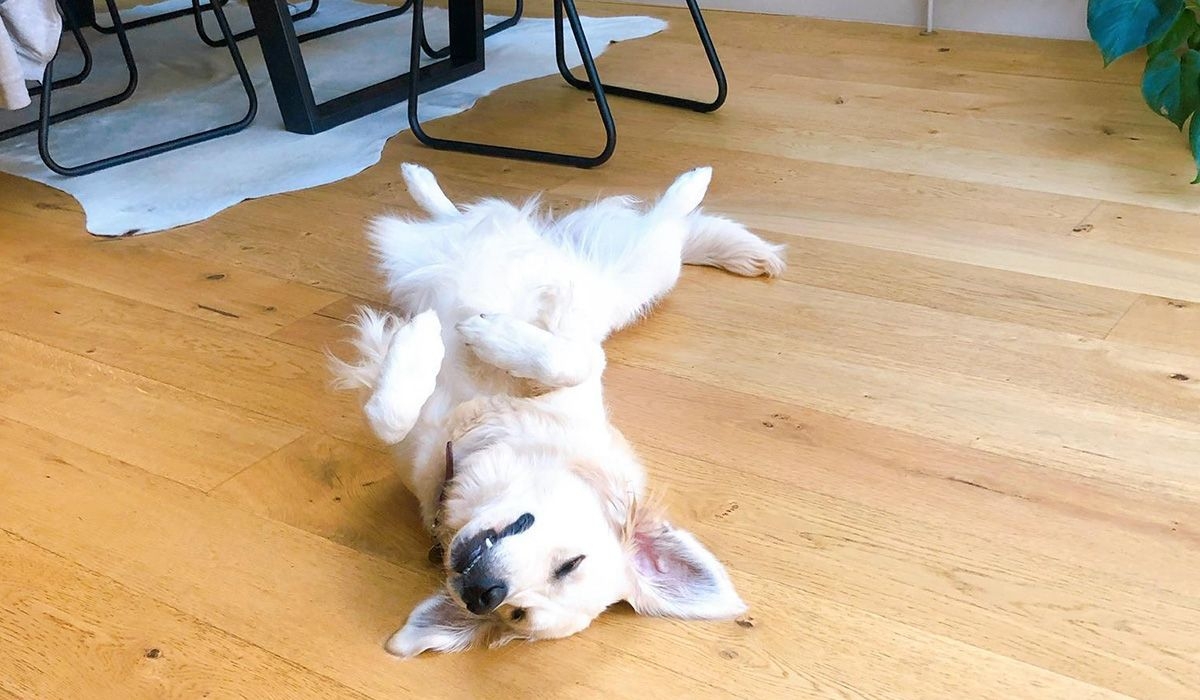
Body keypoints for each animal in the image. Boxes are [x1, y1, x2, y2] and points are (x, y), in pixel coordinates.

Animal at [331, 163, 787, 657]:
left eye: (515, 614)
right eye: (571, 563)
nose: (482, 594)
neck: (474, 441)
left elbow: (387, 419)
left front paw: (439, 339)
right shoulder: (573, 366)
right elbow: (563, 361)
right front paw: (436, 336)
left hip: (634, 282)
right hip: (634, 272)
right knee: (659, 223)